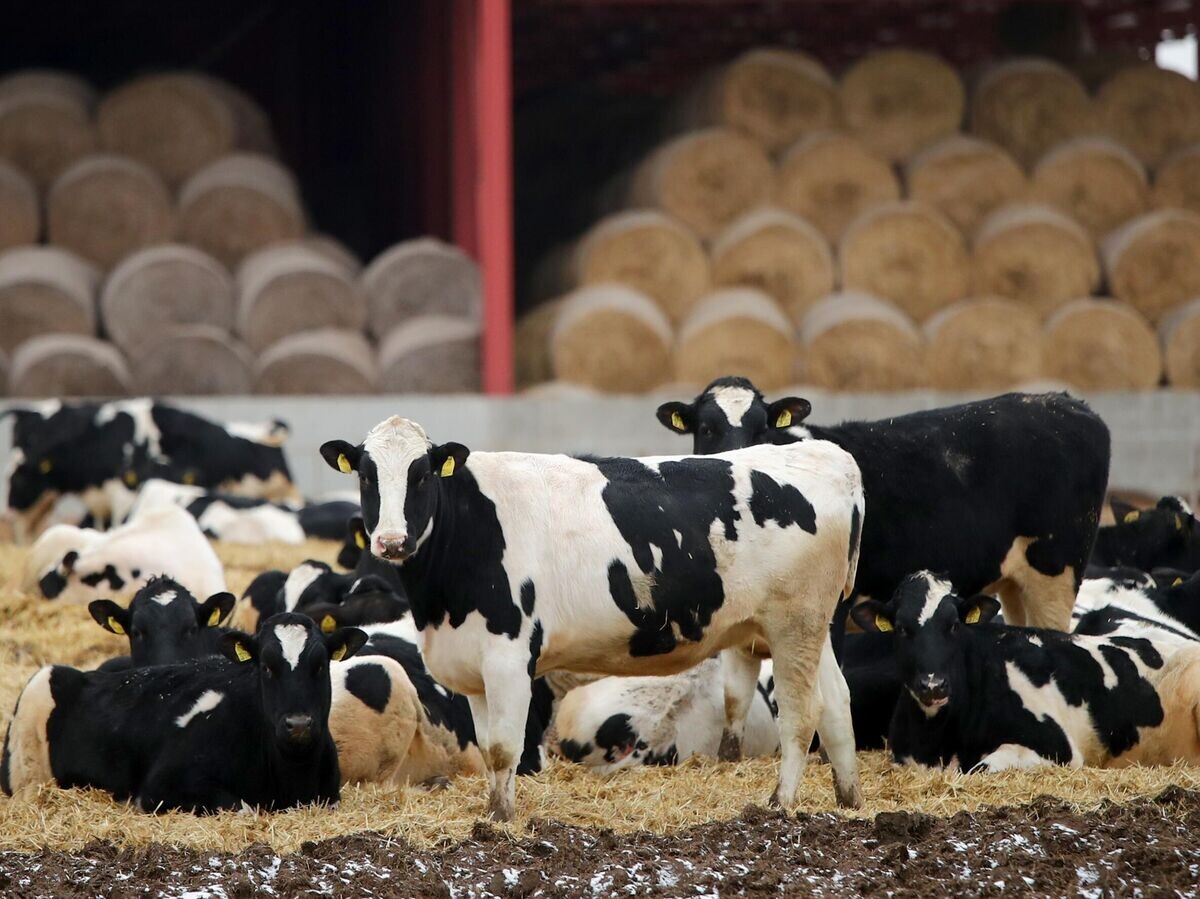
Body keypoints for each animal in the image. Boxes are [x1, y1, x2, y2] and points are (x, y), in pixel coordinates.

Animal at [1, 614, 366, 813]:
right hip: (28, 774)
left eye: (320, 665)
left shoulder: (329, 795)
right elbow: (243, 807)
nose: (298, 724)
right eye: (266, 666)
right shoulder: (159, 788)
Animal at [319, 414, 865, 819]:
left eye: (422, 474)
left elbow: (503, 747)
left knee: (802, 713)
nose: (392, 541)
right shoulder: (471, 664)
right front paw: (494, 809)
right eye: (366, 476)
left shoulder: (509, 655)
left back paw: (780, 803)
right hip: (814, 628)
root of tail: (829, 456)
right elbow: (487, 744)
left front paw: (501, 820)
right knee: (837, 703)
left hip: (794, 625)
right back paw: (849, 798)